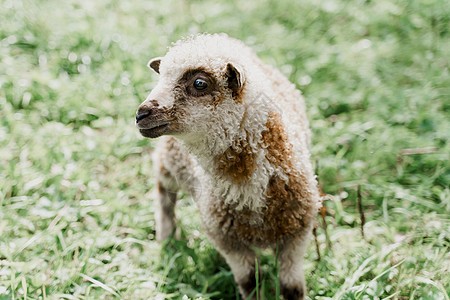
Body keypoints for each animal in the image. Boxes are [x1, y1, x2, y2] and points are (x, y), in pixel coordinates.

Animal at [135, 33, 322, 300]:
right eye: (161, 77)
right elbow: (250, 281)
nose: (141, 115)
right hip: (169, 160)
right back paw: (167, 238)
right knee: (164, 194)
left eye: (200, 83)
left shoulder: (297, 232)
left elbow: (292, 288)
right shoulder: (227, 239)